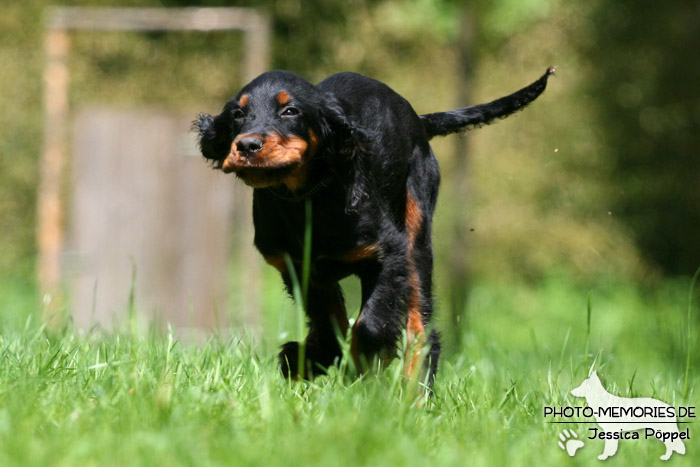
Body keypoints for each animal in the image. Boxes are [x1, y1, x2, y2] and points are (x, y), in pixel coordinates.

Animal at [194, 66, 556, 388]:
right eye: (237, 115)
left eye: (290, 111)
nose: (246, 145)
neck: (307, 197)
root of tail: (417, 119)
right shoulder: (301, 268)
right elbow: (332, 323)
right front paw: (308, 357)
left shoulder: (390, 253)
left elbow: (370, 324)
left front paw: (365, 362)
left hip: (417, 236)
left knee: (420, 329)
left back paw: (413, 397)